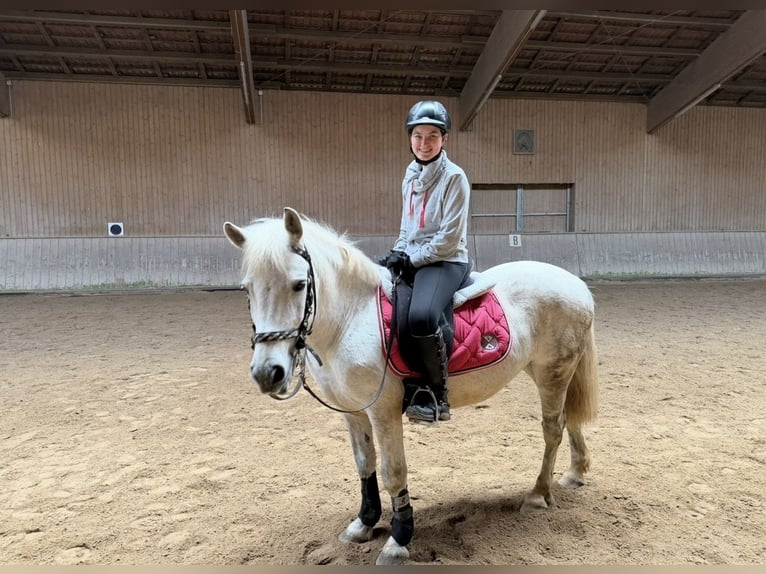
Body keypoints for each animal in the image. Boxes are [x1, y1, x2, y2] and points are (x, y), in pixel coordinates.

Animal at [223, 207, 599, 565]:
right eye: (246, 288)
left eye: (299, 284)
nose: (267, 372)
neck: (350, 318)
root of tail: (575, 285)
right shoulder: (352, 412)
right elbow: (364, 463)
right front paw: (363, 523)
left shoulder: (383, 410)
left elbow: (393, 471)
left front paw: (398, 540)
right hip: (542, 371)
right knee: (569, 419)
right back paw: (574, 474)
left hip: (553, 371)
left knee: (553, 428)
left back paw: (538, 494)